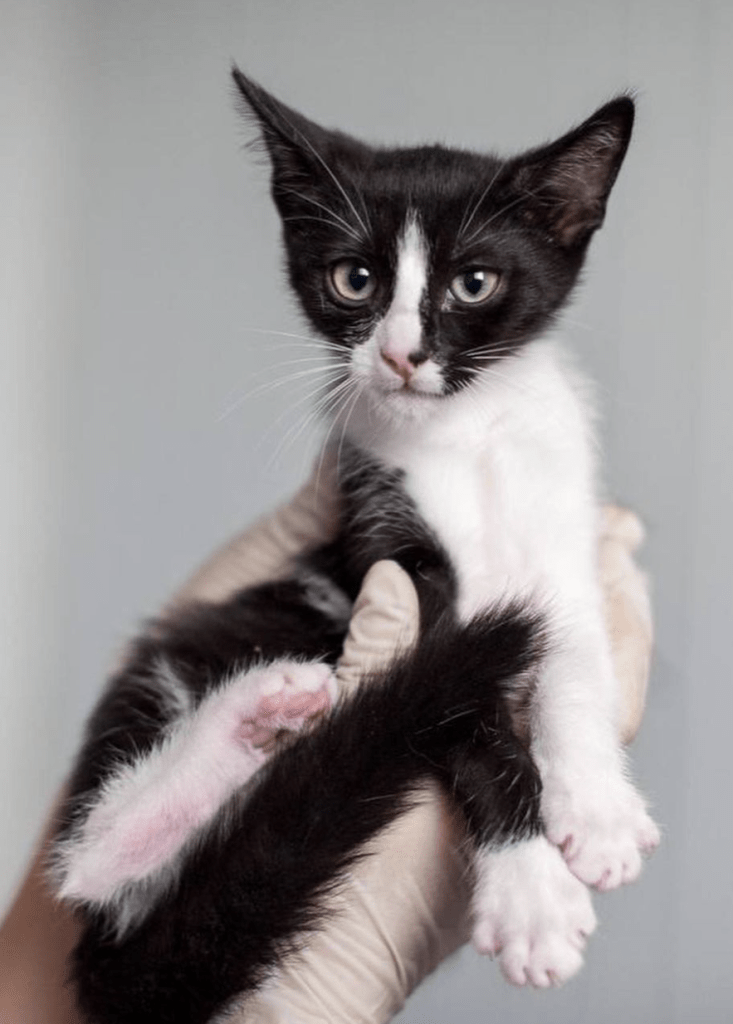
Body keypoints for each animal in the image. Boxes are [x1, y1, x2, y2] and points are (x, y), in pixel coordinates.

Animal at [51, 68, 659, 1019]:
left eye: (473, 283)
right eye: (354, 278)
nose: (403, 354)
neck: (463, 436)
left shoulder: (565, 528)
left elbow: (573, 659)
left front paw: (594, 809)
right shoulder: (381, 540)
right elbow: (453, 703)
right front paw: (529, 891)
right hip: (222, 628)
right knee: (90, 871)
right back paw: (229, 736)